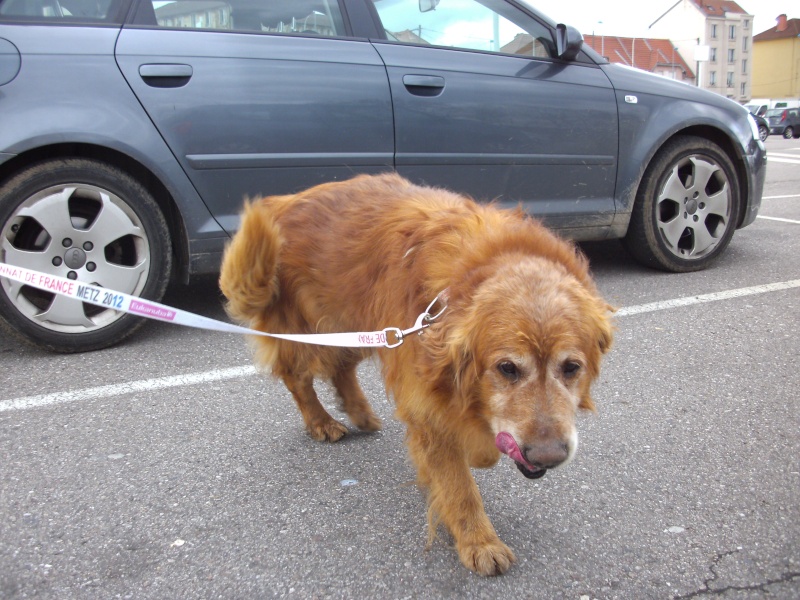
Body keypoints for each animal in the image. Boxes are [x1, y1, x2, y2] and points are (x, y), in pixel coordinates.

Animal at [219, 171, 612, 576]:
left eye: (571, 367)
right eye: (507, 368)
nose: (548, 457)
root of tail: (283, 202)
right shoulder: (426, 405)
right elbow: (458, 485)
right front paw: (479, 541)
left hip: (364, 327)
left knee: (342, 369)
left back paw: (360, 413)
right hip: (309, 327)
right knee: (298, 378)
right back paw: (321, 422)